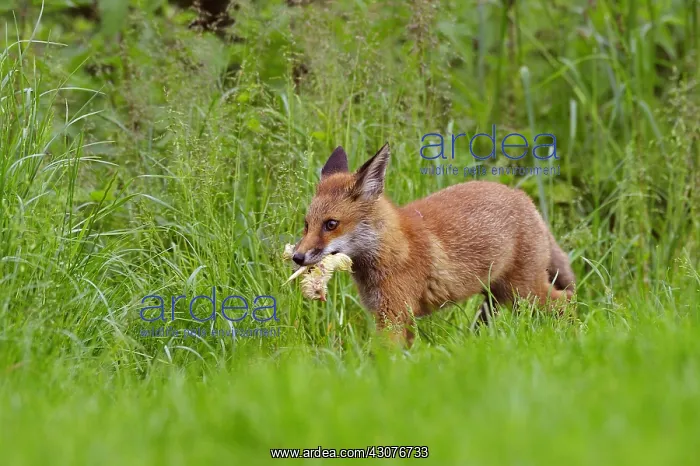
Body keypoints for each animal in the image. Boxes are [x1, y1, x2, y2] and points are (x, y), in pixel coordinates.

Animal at [292, 143, 575, 344]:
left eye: (331, 224)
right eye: (307, 224)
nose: (297, 257)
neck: (392, 250)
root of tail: (524, 197)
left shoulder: (393, 315)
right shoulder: (394, 316)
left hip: (522, 293)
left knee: (566, 300)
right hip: (498, 295)